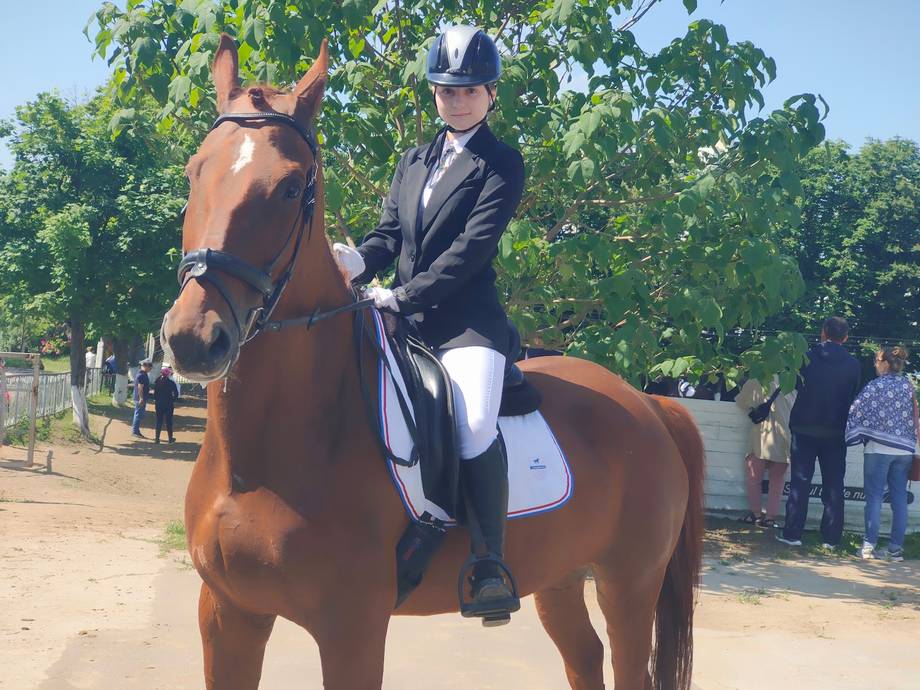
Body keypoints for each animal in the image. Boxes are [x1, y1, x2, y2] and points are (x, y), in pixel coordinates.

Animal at [161, 34, 704, 690]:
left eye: (291, 187)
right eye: (194, 172)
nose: (194, 340)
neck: (262, 460)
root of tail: (647, 403)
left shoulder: (352, 630)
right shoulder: (226, 612)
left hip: (630, 584)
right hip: (560, 577)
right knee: (584, 656)